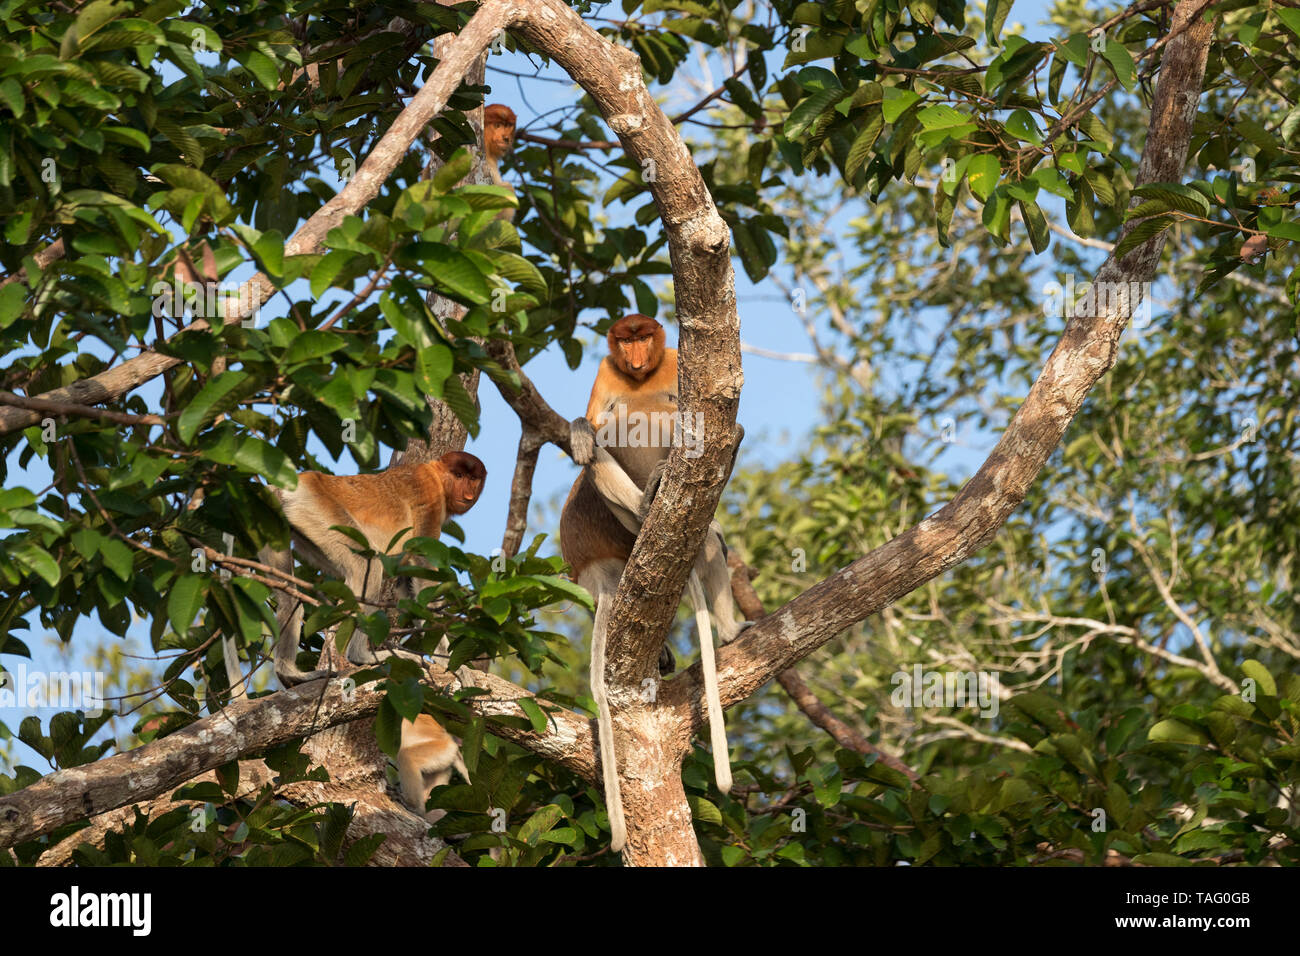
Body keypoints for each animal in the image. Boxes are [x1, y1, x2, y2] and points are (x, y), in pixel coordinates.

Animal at [261, 450, 487, 688]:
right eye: (459, 475)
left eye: (473, 478)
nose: (468, 494)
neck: (437, 476)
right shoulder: (430, 499)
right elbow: (423, 578)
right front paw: (452, 665)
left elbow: (407, 585)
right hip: (317, 508)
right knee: (367, 567)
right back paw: (362, 656)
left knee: (289, 598)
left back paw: (290, 674)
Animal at [559, 314, 745, 852]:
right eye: (626, 340)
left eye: (645, 336)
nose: (638, 355)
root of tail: (596, 572)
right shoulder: (607, 371)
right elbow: (595, 422)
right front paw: (580, 430)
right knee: (599, 451)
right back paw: (645, 506)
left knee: (712, 541)